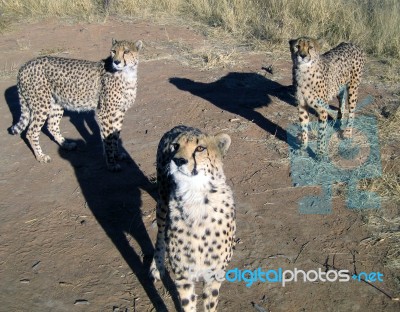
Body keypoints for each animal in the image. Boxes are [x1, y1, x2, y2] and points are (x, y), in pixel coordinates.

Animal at [8, 39, 144, 172]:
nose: (116, 61)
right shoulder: (105, 112)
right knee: (31, 132)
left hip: (57, 103)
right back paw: (41, 156)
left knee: (52, 125)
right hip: (41, 105)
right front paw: (111, 163)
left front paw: (117, 155)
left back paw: (66, 144)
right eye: (113, 51)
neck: (127, 73)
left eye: (126, 51)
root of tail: (24, 66)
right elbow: (108, 139)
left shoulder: (119, 111)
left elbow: (115, 134)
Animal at [151, 125, 236, 310]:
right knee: (160, 234)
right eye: (175, 146)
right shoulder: (183, 275)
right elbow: (188, 306)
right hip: (162, 201)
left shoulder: (214, 275)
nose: (178, 160)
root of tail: (180, 125)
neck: (195, 195)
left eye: (200, 148)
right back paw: (157, 265)